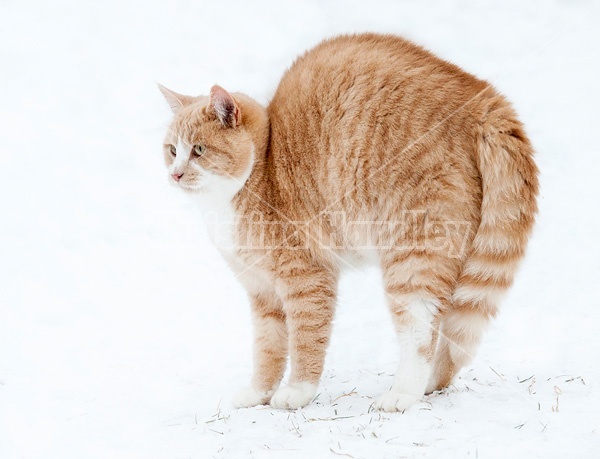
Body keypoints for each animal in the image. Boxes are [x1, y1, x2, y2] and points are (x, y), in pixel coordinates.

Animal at [157, 33, 536, 414]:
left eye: (199, 150)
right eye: (172, 150)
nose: (175, 174)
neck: (260, 169)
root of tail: (480, 99)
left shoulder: (307, 279)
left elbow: (306, 340)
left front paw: (298, 391)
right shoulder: (262, 293)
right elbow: (268, 348)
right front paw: (258, 392)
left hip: (412, 256)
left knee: (420, 331)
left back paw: (404, 392)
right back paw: (430, 383)